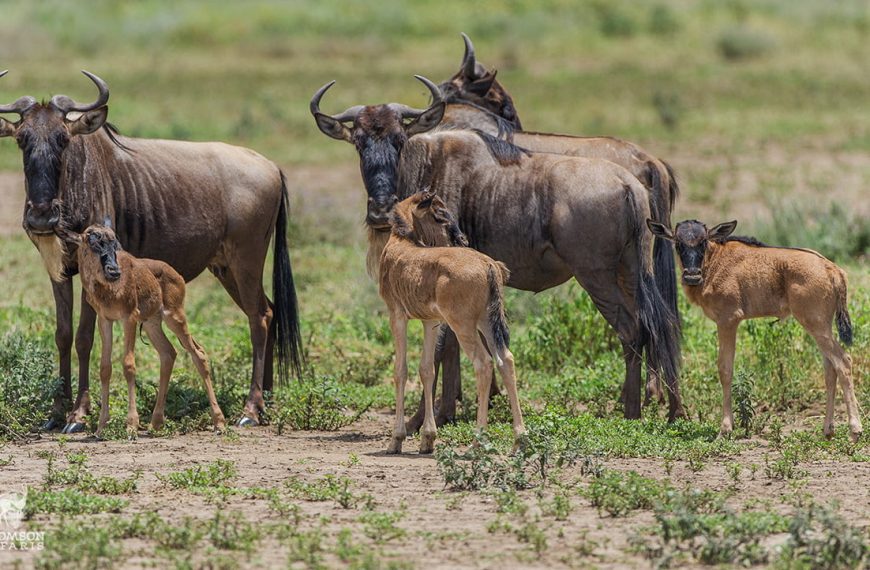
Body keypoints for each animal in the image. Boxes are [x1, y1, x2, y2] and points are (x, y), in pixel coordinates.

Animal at [64, 223, 226, 437]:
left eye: (115, 245)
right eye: (93, 243)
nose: (114, 272)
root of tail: (176, 274)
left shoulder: (130, 318)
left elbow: (128, 365)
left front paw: (131, 426)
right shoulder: (105, 320)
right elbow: (105, 368)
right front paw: (101, 427)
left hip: (174, 317)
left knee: (198, 353)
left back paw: (219, 423)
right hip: (151, 323)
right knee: (168, 353)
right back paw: (156, 423)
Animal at [379, 192, 524, 453]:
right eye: (439, 215)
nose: (462, 239)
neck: (401, 242)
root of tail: (489, 265)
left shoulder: (397, 315)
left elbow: (401, 370)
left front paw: (396, 439)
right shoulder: (431, 322)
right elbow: (427, 369)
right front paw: (427, 439)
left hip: (463, 325)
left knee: (484, 363)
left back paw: (478, 441)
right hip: (486, 322)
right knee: (505, 360)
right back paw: (520, 440)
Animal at [647, 219, 862, 442]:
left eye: (703, 241)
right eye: (678, 243)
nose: (691, 276)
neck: (713, 261)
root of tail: (832, 269)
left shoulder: (728, 320)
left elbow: (725, 369)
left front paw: (725, 429)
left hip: (815, 324)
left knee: (844, 361)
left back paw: (855, 430)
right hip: (821, 326)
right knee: (830, 369)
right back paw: (828, 430)